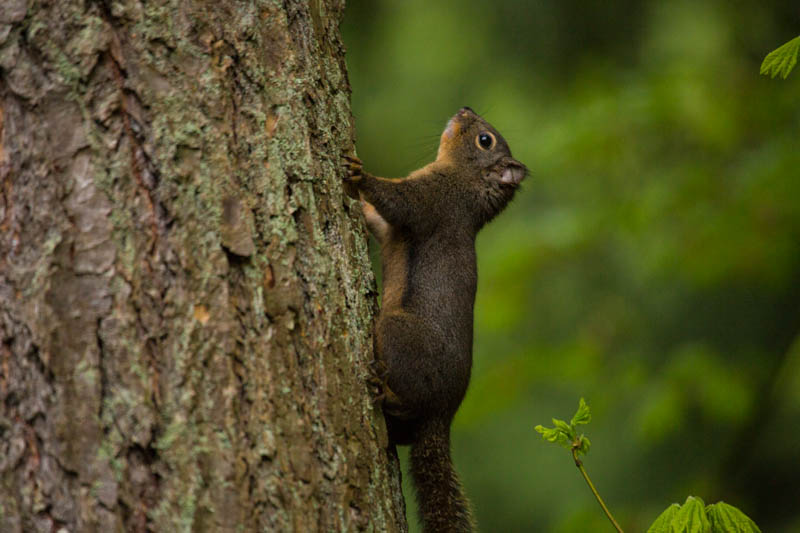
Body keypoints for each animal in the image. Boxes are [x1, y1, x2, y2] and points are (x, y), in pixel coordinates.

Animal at [342, 106, 524, 528]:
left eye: (485, 140)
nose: (465, 109)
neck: (464, 181)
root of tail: (443, 415)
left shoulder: (431, 201)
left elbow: (396, 200)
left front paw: (360, 175)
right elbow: (380, 222)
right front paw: (360, 205)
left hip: (396, 333)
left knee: (407, 401)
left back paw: (383, 390)